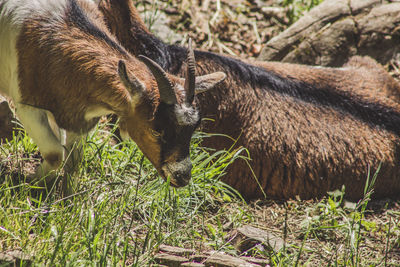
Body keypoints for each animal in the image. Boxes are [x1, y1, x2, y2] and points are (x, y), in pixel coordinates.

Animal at [0, 0, 225, 193]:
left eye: (193, 129)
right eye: (156, 131)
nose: (182, 177)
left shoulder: (79, 117)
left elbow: (72, 161)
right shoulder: (27, 106)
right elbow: (56, 154)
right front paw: (32, 182)